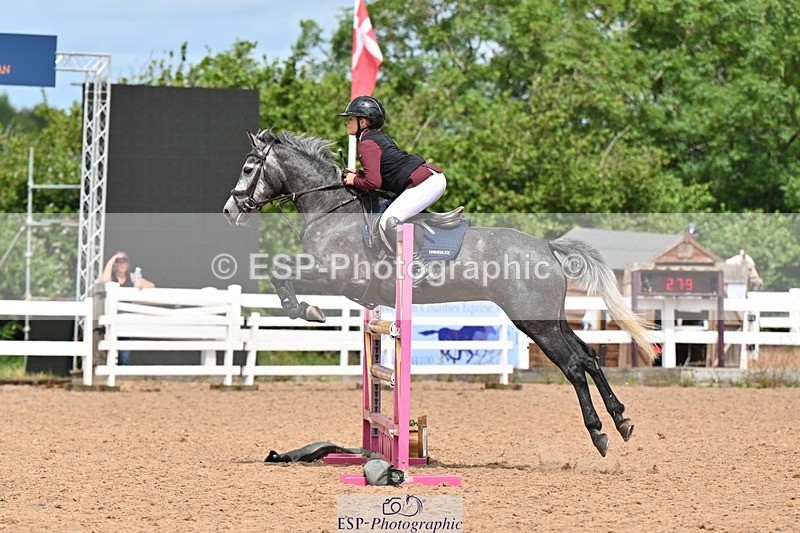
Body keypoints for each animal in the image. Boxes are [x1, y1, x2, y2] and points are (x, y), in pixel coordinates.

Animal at [223, 128, 655, 457]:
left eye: (248, 168)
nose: (230, 211)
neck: (331, 207)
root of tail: (548, 247)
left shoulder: (335, 276)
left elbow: (281, 271)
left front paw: (306, 311)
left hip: (535, 323)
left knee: (574, 366)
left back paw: (599, 432)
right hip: (549, 318)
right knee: (590, 356)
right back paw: (622, 420)